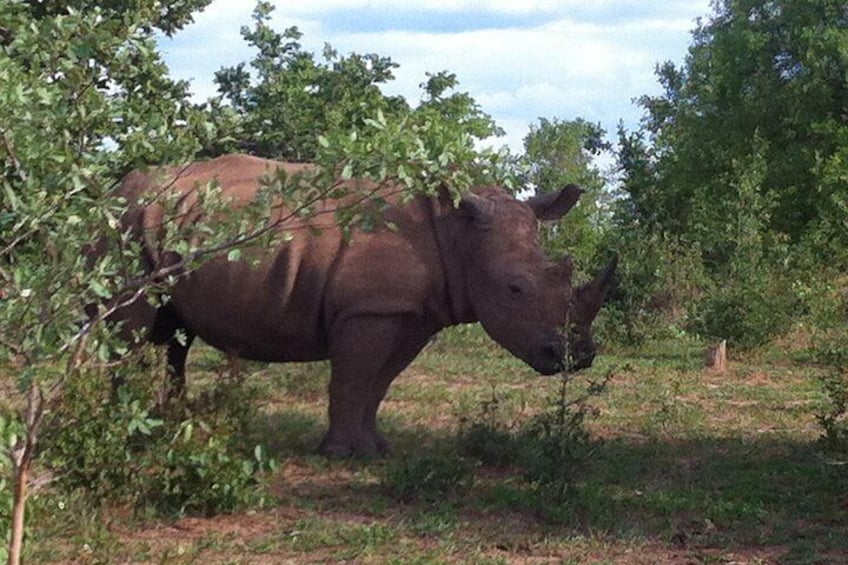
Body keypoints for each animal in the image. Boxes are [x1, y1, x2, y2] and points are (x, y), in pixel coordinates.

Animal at [102, 155, 612, 458]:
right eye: (514, 288)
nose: (577, 355)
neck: (455, 233)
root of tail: (115, 187)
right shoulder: (368, 310)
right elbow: (351, 379)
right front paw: (342, 455)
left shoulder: (407, 312)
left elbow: (378, 383)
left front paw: (376, 450)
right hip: (125, 223)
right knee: (129, 329)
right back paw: (129, 430)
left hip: (162, 225)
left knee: (175, 336)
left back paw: (167, 423)